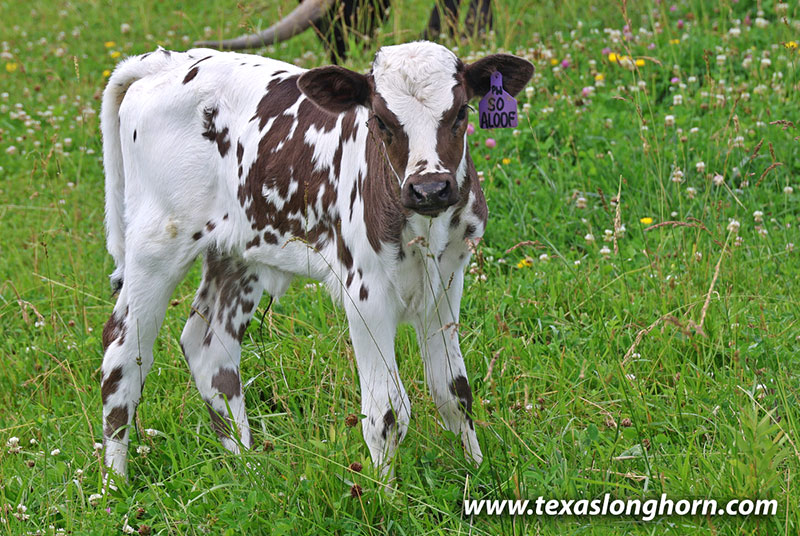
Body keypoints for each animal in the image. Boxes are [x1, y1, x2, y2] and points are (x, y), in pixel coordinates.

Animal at [99, 40, 533, 482]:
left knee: (211, 351)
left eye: (461, 111)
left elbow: (454, 392)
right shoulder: (365, 295)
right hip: (154, 248)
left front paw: (477, 471)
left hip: (237, 253)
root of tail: (169, 61)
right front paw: (384, 492)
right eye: (380, 119)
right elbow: (386, 412)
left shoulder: (446, 283)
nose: (429, 189)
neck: (424, 230)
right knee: (122, 354)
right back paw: (115, 483)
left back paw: (248, 468)